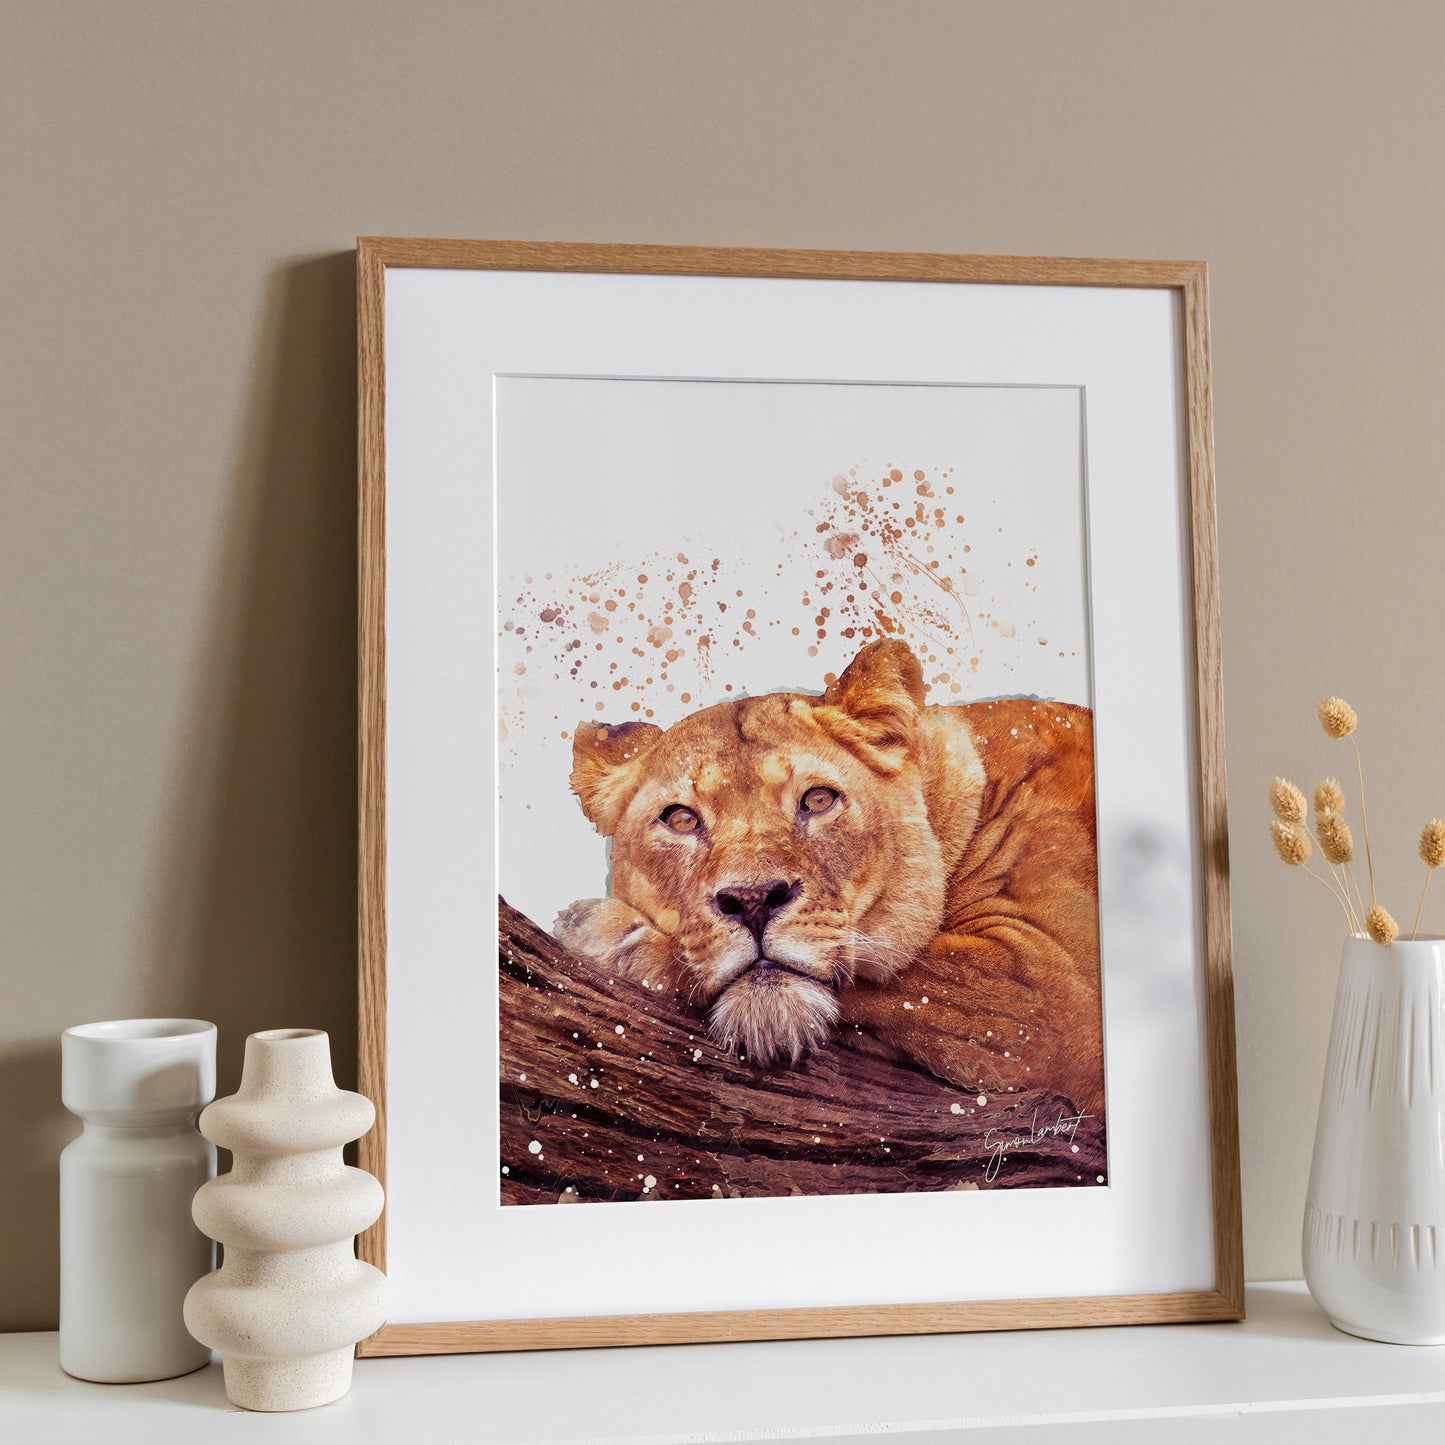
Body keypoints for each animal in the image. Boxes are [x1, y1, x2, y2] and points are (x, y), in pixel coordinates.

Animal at [553, 638, 1105, 1117]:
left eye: (817, 800)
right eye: (682, 819)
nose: (754, 900)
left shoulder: (1050, 989)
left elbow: (901, 975)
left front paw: (604, 933)